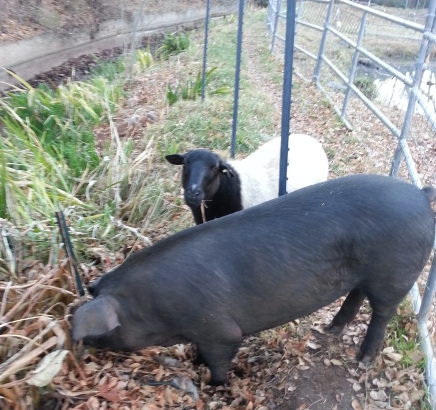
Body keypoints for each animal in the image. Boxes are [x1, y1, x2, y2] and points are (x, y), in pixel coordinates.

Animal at [73, 175, 434, 384]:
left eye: (102, 333)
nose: (77, 343)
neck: (150, 306)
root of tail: (420, 194)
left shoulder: (218, 329)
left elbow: (220, 362)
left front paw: (212, 384)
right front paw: (196, 362)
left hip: (395, 272)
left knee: (382, 313)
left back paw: (362, 360)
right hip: (366, 274)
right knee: (356, 296)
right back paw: (331, 329)